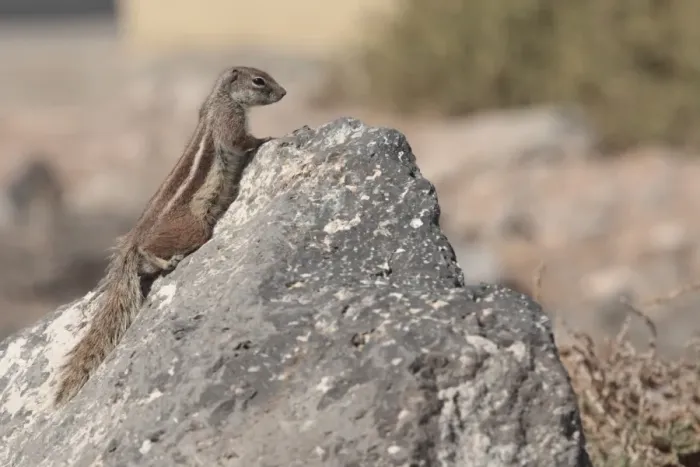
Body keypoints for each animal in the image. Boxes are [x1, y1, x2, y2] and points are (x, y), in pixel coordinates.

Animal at [53, 66, 286, 407]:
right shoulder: (229, 122)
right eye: (259, 80)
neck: (220, 97)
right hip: (194, 228)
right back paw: (166, 261)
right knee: (148, 253)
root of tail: (131, 240)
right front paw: (269, 137)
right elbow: (242, 140)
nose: (283, 93)